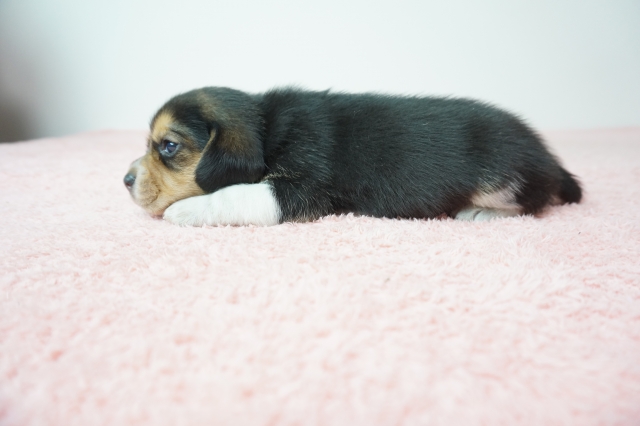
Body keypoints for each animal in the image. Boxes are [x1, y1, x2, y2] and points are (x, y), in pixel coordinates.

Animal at [124, 87, 582, 226]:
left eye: (168, 146)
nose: (125, 180)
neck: (267, 129)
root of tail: (549, 159)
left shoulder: (301, 190)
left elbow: (236, 195)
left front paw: (186, 210)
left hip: (502, 179)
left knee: (537, 201)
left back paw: (483, 212)